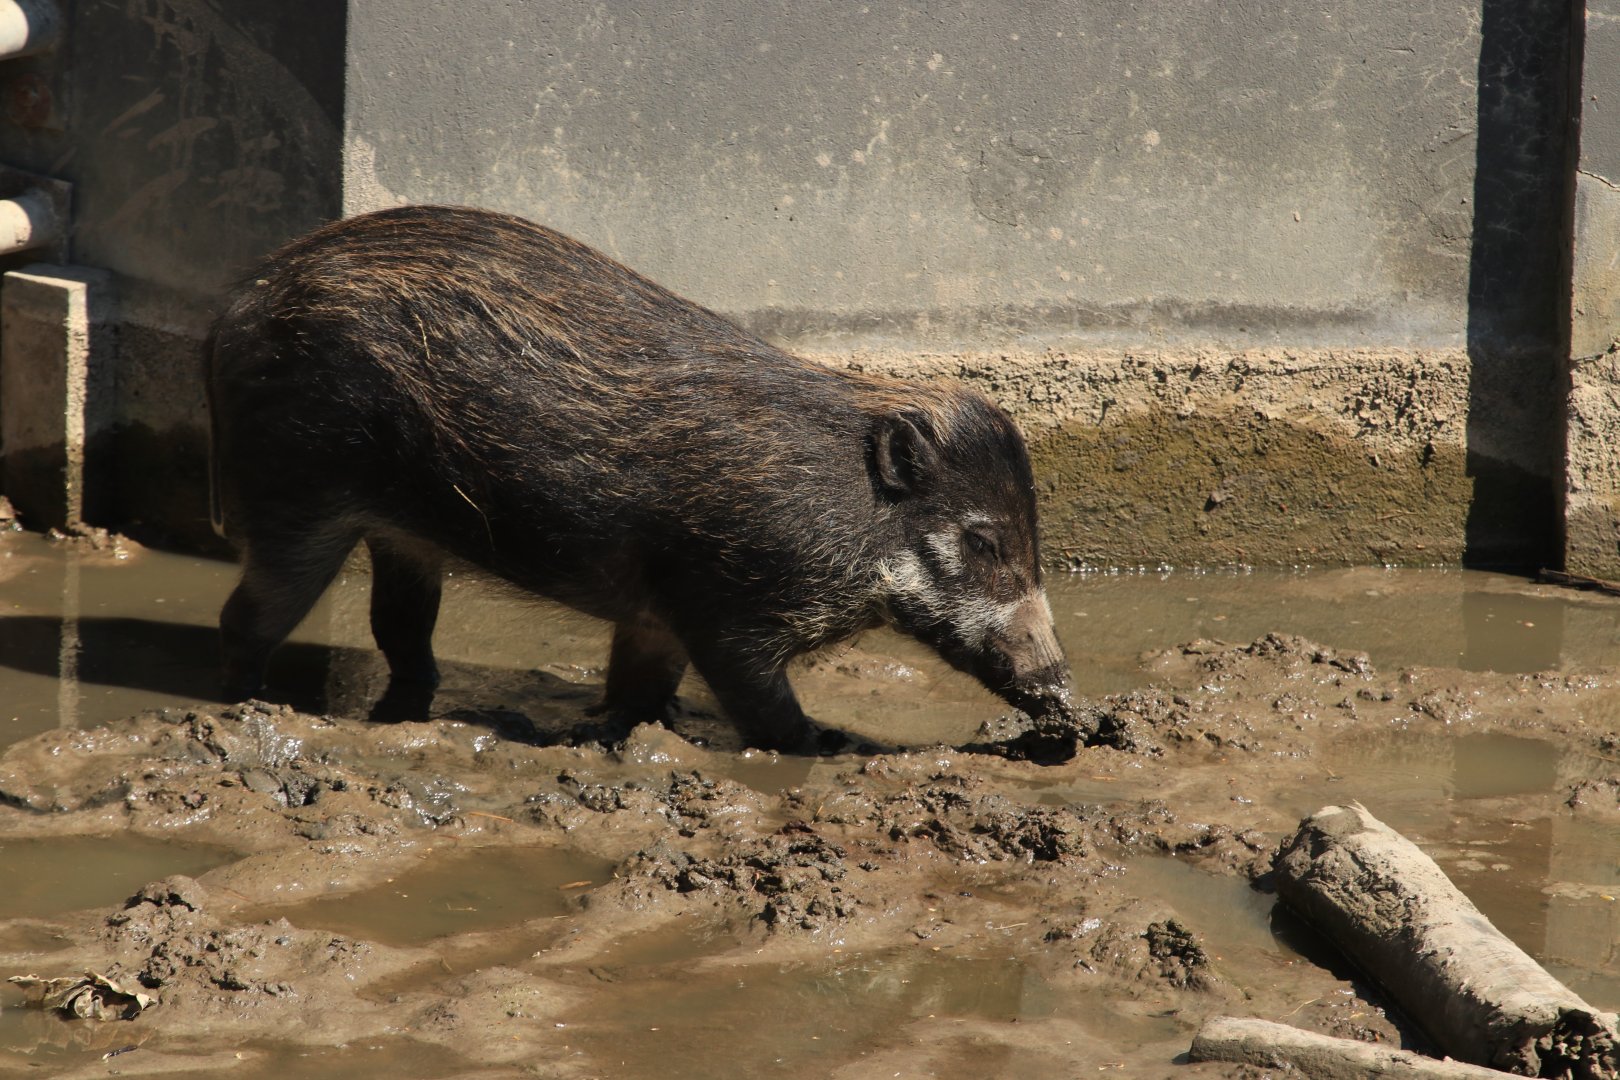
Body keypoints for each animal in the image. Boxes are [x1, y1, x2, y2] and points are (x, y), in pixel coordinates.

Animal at [207, 204, 1077, 754]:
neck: (848, 517)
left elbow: (639, 687)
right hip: (295, 496)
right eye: (984, 540)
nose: (1067, 708)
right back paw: (247, 705)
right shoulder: (728, 611)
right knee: (245, 618)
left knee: (400, 629)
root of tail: (237, 306)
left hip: (400, 534)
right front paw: (827, 743)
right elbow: (763, 707)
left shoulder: (658, 612)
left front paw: (619, 730)